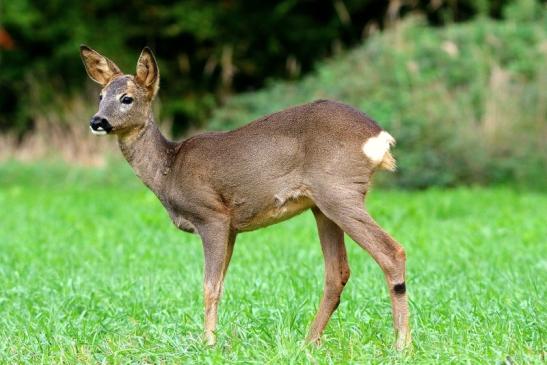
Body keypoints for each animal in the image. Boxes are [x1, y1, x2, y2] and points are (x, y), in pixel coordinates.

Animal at [80, 44, 412, 348]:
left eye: (127, 98)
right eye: (100, 96)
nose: (97, 121)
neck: (169, 169)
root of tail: (379, 138)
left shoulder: (212, 215)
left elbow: (209, 286)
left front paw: (208, 343)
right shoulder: (232, 228)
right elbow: (221, 283)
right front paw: (213, 339)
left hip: (339, 190)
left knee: (392, 252)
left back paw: (401, 344)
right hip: (322, 205)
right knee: (337, 272)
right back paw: (309, 342)